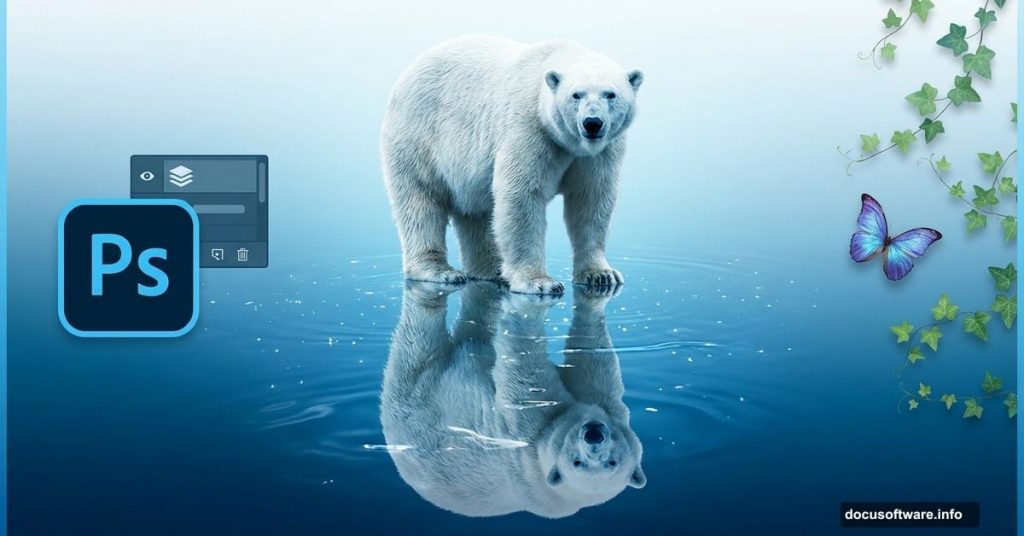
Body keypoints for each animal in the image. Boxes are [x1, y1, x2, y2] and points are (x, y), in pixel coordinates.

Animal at [379, 281, 646, 518]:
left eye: (612, 462)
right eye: (578, 462)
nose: (593, 434)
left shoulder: (529, 433)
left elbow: (523, 375)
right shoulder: (607, 411)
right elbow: (592, 366)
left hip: (416, 397)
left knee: (418, 343)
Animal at [380, 35, 643, 295]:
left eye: (610, 94)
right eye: (576, 95)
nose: (592, 123)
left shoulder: (601, 152)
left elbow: (591, 200)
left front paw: (601, 275)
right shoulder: (529, 128)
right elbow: (522, 195)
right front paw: (539, 282)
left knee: (477, 213)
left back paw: (493, 270)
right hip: (419, 136)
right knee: (421, 202)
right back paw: (440, 271)